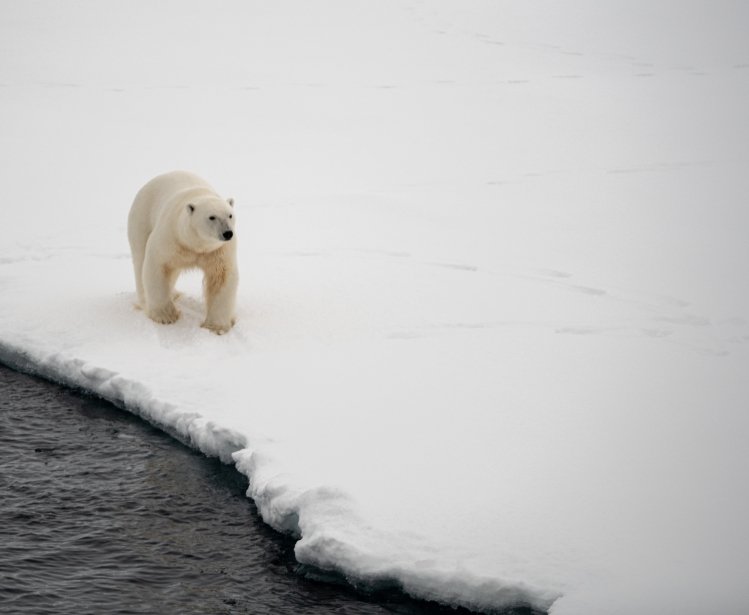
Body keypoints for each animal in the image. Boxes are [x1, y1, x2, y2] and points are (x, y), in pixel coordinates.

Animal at [125, 173, 237, 334]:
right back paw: (145, 302)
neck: (194, 244)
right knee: (140, 260)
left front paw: (216, 327)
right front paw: (165, 317)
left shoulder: (217, 251)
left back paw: (175, 293)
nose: (227, 233)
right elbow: (156, 265)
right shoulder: (170, 237)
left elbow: (222, 277)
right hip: (141, 218)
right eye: (212, 217)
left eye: (230, 215)